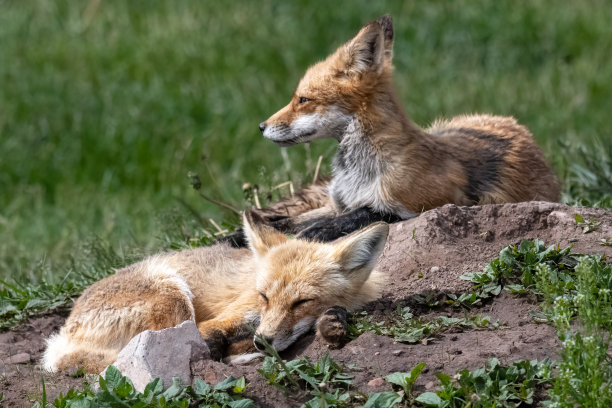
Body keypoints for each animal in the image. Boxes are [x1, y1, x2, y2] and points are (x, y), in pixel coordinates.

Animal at [41, 214, 388, 372]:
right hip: (174, 298)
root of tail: (61, 336)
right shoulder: (227, 318)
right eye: (264, 296)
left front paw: (331, 325)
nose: (263, 341)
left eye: (302, 302)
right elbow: (212, 340)